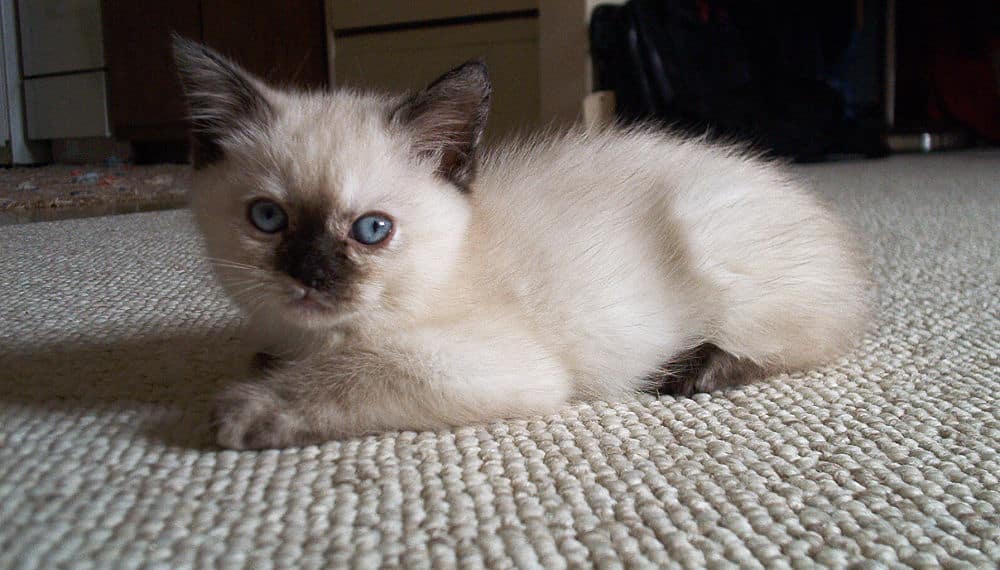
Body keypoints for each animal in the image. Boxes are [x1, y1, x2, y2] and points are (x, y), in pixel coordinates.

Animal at [172, 37, 868, 450]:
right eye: (268, 218)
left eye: (372, 229)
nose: (311, 275)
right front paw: (266, 366)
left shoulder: (484, 363)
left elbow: (354, 374)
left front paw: (247, 409)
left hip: (719, 252)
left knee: (810, 342)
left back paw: (695, 368)